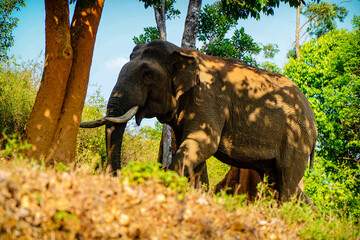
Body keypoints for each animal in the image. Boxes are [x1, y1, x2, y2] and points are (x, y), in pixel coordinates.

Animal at [80, 39, 316, 202]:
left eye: (147, 74)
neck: (184, 54)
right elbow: (195, 151)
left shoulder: (208, 97)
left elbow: (202, 144)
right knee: (278, 181)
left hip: (296, 139)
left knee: (286, 180)